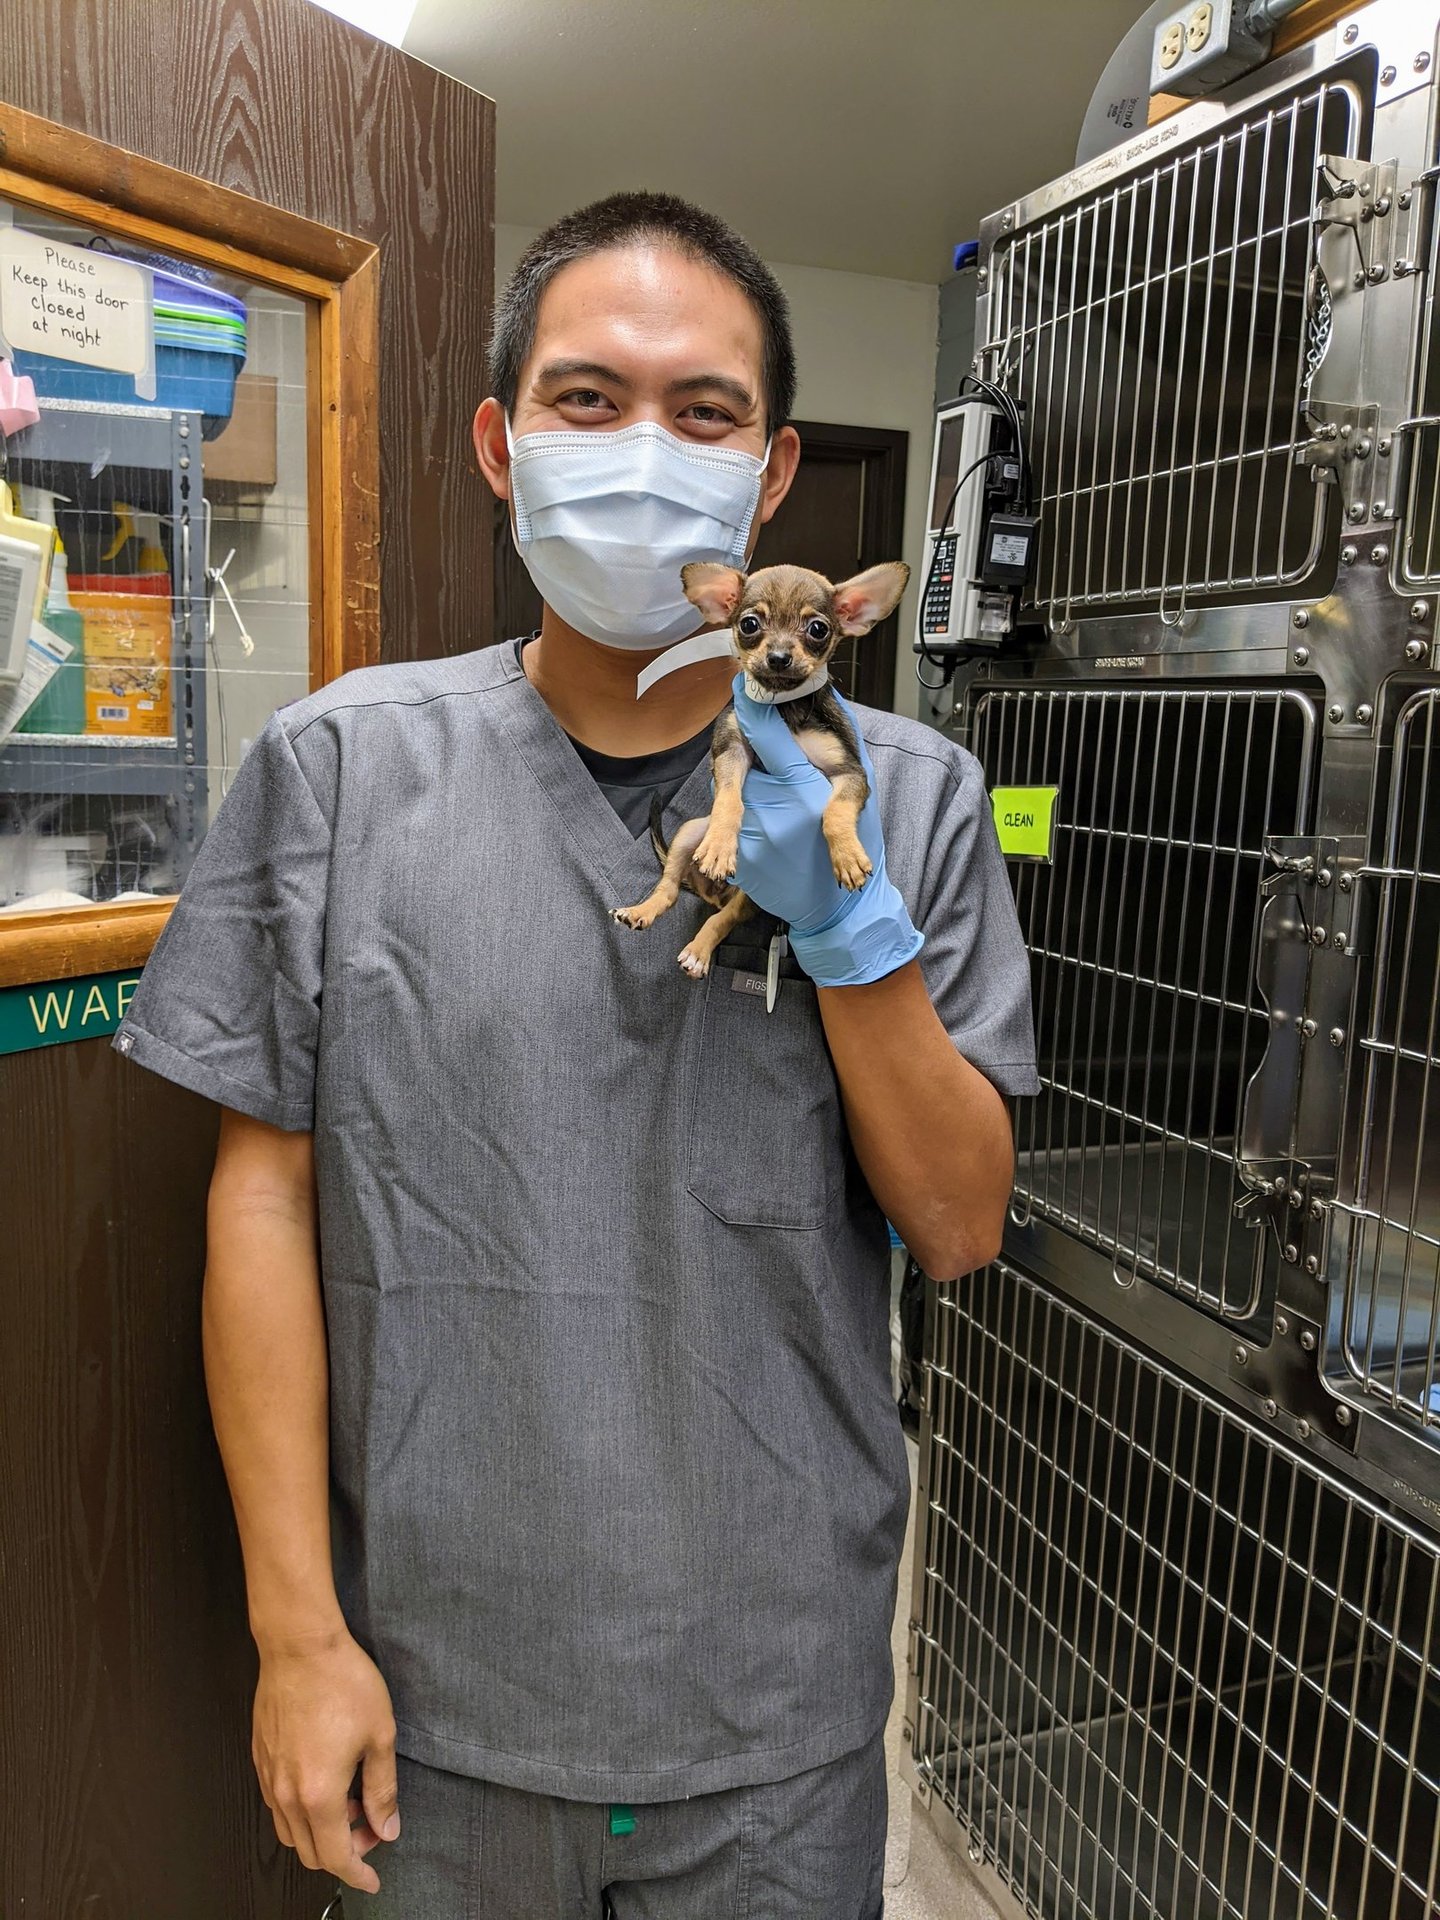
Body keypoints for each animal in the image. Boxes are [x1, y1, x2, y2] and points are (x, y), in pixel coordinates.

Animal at [612, 559, 910, 978]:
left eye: (818, 629)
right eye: (750, 624)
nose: (779, 657)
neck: (783, 710)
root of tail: (717, 893)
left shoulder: (849, 773)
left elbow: (834, 813)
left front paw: (849, 856)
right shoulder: (732, 752)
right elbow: (729, 800)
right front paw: (720, 846)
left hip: (753, 899)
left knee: (720, 920)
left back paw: (698, 950)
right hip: (689, 834)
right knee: (668, 889)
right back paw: (643, 912)